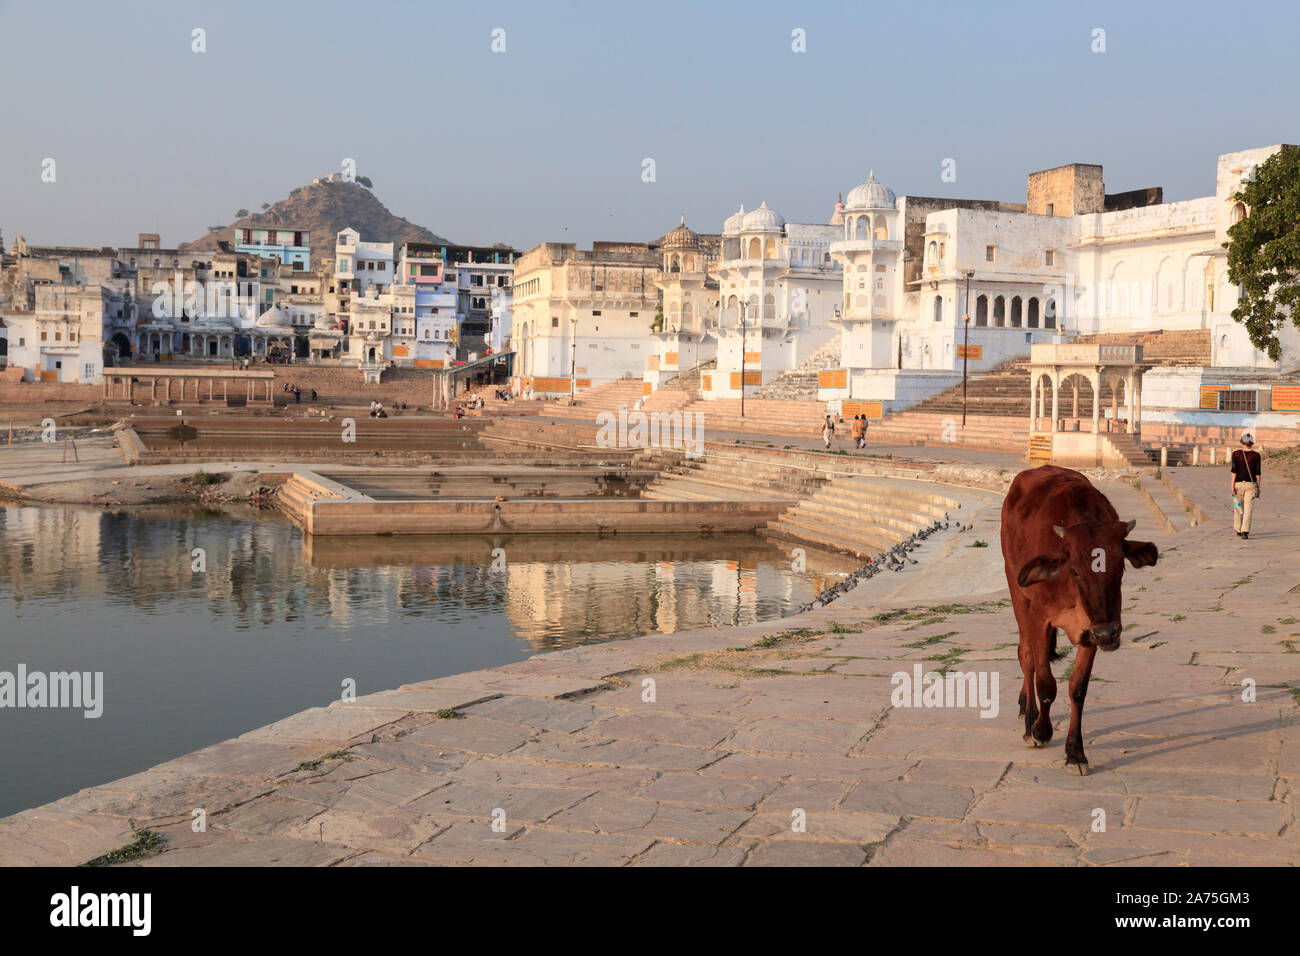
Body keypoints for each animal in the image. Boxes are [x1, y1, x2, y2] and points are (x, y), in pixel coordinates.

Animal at [998, 468, 1164, 775]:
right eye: (1074, 569)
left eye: (1120, 566)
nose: (1109, 634)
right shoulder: (1040, 619)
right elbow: (1045, 683)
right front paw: (1040, 730)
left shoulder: (1091, 632)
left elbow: (1077, 689)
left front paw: (1075, 753)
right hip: (1017, 592)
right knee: (1025, 656)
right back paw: (1029, 715)